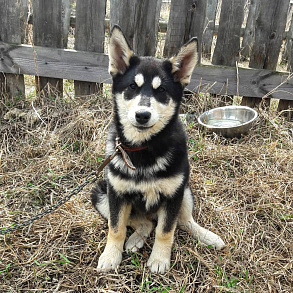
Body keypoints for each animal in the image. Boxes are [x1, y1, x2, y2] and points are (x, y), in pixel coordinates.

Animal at [90, 25, 224, 274]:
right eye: (132, 86)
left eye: (161, 89)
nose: (142, 115)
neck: (144, 147)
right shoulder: (116, 195)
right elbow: (116, 228)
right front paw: (111, 256)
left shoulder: (173, 195)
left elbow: (166, 230)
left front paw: (160, 259)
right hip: (100, 194)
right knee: (144, 222)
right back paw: (135, 240)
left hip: (185, 190)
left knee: (182, 221)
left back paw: (207, 236)